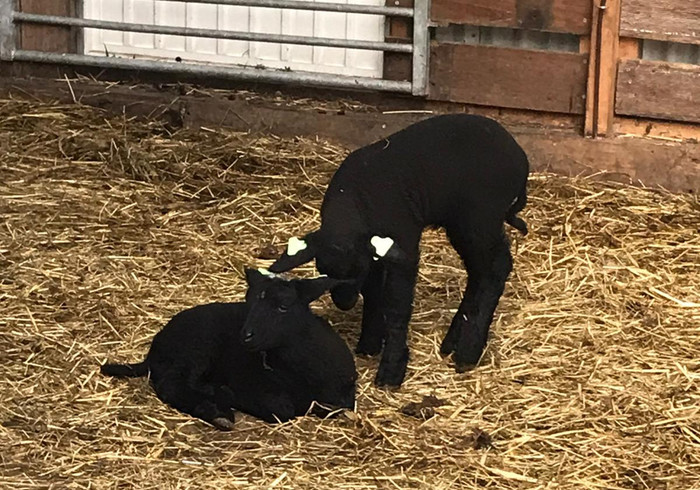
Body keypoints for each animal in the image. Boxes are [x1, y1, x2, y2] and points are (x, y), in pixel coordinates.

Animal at [101, 270, 358, 430]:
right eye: (249, 302)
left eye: (284, 306)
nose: (246, 336)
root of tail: (156, 345)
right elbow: (280, 409)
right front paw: (232, 396)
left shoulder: (344, 396)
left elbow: (334, 407)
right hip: (195, 350)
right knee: (171, 386)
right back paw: (219, 412)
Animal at [270, 114, 528, 386]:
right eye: (322, 269)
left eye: (356, 272)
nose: (344, 303)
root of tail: (520, 156)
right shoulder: (373, 252)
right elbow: (373, 292)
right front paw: (370, 343)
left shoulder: (402, 245)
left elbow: (396, 303)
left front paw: (391, 369)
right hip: (461, 223)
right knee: (479, 271)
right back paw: (452, 341)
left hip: (480, 218)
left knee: (497, 268)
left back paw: (468, 350)